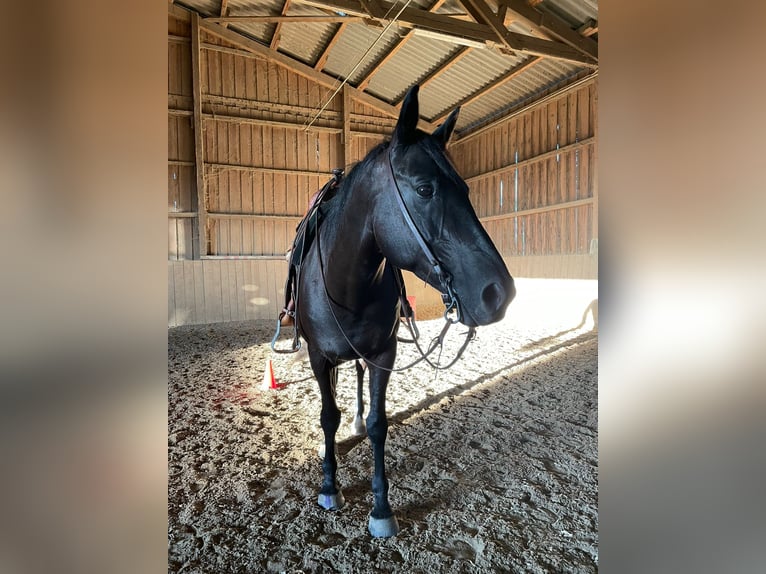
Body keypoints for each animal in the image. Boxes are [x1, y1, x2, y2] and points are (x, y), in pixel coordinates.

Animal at [293, 84, 515, 538]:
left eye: (466, 190)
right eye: (425, 189)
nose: (498, 293)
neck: (345, 282)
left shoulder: (384, 353)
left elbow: (380, 424)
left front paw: (381, 509)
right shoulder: (318, 356)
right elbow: (327, 416)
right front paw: (329, 486)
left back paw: (357, 421)